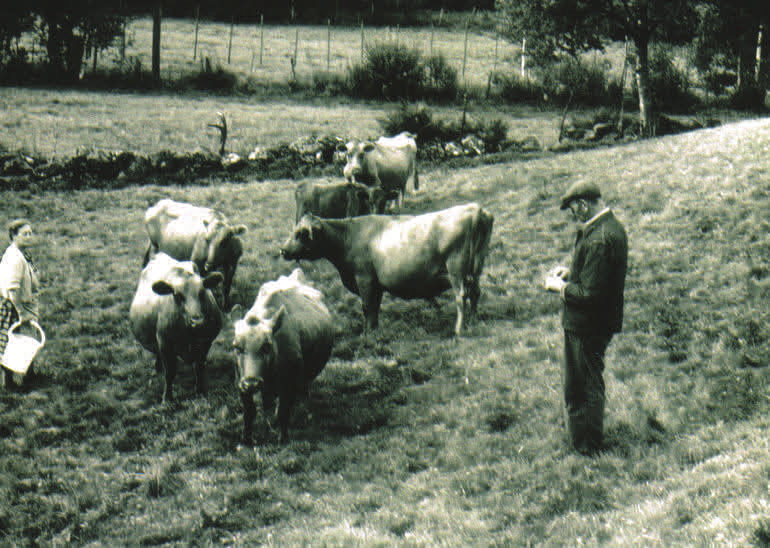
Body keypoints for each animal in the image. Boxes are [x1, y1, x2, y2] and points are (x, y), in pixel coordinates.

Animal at [130, 253, 224, 402]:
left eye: (202, 292)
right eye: (177, 295)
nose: (197, 322)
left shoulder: (206, 343)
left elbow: (199, 367)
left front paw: (200, 390)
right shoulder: (165, 344)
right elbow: (170, 373)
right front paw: (167, 397)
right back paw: (158, 366)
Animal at [231, 268, 332, 446]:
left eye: (266, 346)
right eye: (237, 346)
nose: (252, 382)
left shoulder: (289, 384)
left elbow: (282, 412)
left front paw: (283, 438)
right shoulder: (240, 381)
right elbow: (249, 412)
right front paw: (246, 439)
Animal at [280, 203, 492, 336]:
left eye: (301, 233)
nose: (283, 250)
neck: (348, 237)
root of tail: (475, 209)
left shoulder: (364, 278)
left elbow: (367, 306)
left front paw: (367, 334)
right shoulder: (376, 283)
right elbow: (375, 306)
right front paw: (374, 329)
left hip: (456, 268)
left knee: (461, 296)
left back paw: (458, 329)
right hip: (475, 268)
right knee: (475, 293)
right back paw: (473, 321)